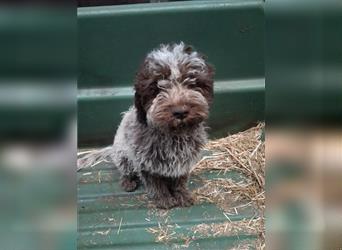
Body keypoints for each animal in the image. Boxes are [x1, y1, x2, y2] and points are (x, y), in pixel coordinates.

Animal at [111, 43, 214, 209]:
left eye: (192, 82)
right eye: (157, 87)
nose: (180, 112)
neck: (173, 134)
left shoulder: (183, 162)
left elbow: (180, 180)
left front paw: (181, 195)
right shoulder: (146, 163)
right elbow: (156, 183)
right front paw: (164, 198)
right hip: (122, 154)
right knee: (126, 169)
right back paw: (128, 181)